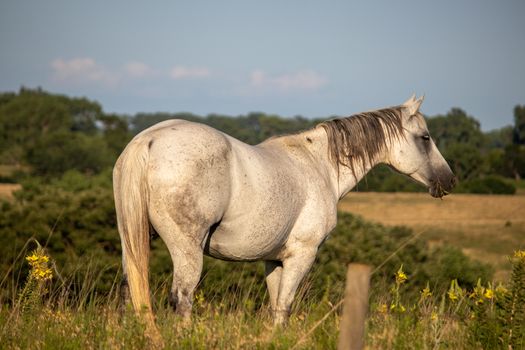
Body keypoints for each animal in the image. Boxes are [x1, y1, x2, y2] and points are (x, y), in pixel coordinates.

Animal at [113, 95, 454, 336]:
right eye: (425, 137)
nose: (449, 181)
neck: (319, 165)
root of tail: (148, 140)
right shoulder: (301, 255)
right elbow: (284, 307)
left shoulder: (274, 260)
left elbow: (276, 305)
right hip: (187, 250)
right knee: (182, 298)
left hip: (132, 243)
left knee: (131, 292)